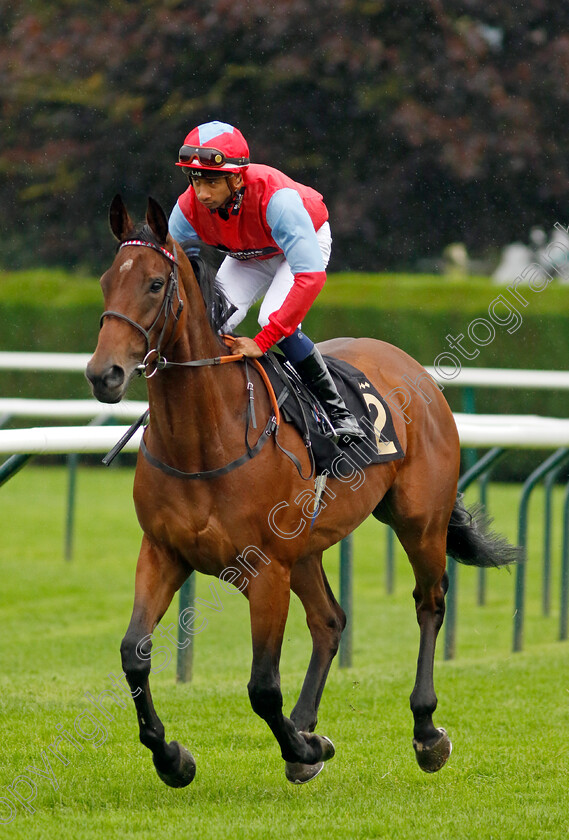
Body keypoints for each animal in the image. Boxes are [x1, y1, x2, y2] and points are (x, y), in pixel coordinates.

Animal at [86, 197, 516, 788]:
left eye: (154, 284)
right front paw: (172, 757)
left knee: (429, 603)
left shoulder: (265, 568)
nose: (103, 374)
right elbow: (135, 653)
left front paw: (305, 746)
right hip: (308, 546)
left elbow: (262, 686)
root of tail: (413, 369)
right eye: (107, 281)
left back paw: (425, 731)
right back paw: (307, 725)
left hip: (418, 521)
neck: (204, 440)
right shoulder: (163, 552)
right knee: (330, 621)